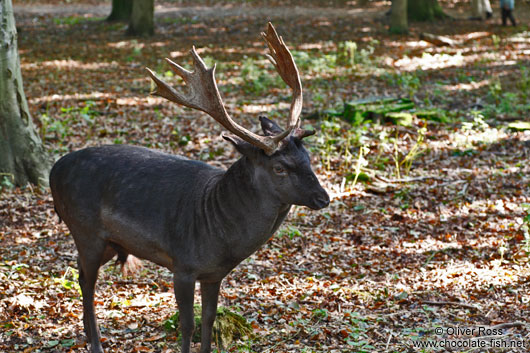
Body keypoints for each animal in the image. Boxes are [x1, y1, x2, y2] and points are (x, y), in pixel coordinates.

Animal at [50, 22, 330, 352]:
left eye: (307, 157)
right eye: (279, 168)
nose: (323, 197)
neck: (218, 231)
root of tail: (54, 170)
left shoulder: (214, 274)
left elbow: (209, 320)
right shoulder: (182, 265)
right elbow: (187, 324)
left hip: (109, 242)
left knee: (80, 273)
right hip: (85, 230)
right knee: (86, 280)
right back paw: (96, 343)